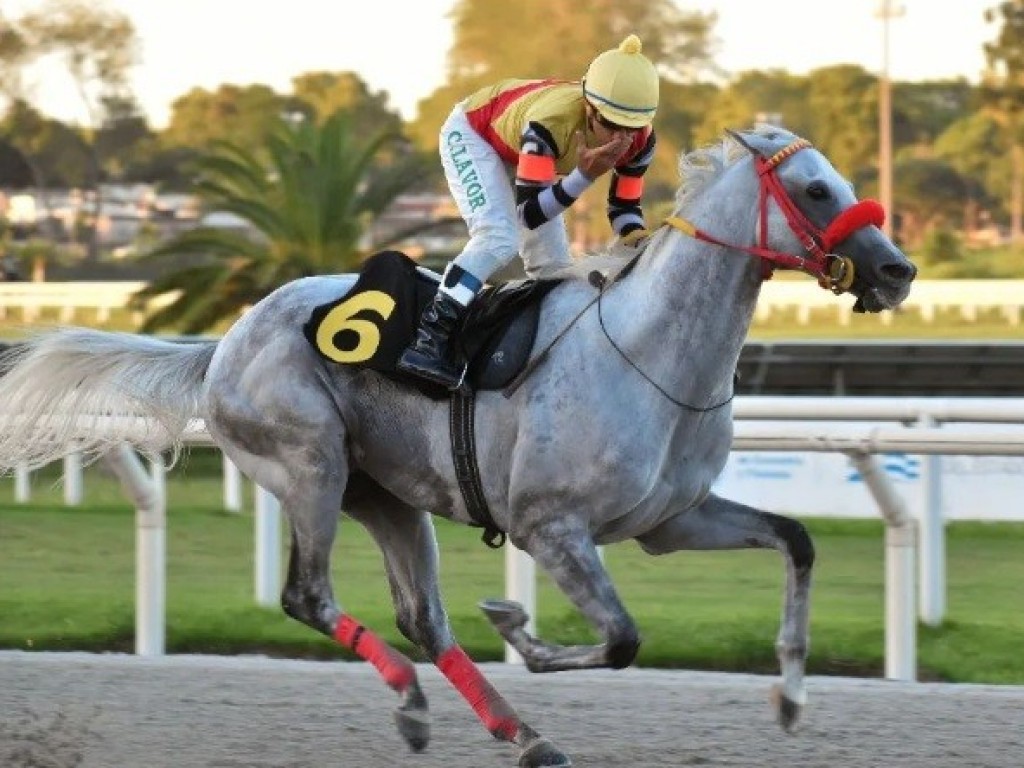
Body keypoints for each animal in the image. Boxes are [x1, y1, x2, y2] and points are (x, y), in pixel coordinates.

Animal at [0, 128, 913, 768]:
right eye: (816, 187)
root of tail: (225, 340)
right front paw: (521, 629)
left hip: (387, 495)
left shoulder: (671, 521)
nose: (897, 271)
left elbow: (796, 541)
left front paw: (790, 698)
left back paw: (523, 734)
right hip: (311, 466)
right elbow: (621, 638)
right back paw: (412, 701)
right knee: (309, 596)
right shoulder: (553, 528)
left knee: (422, 618)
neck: (649, 351)